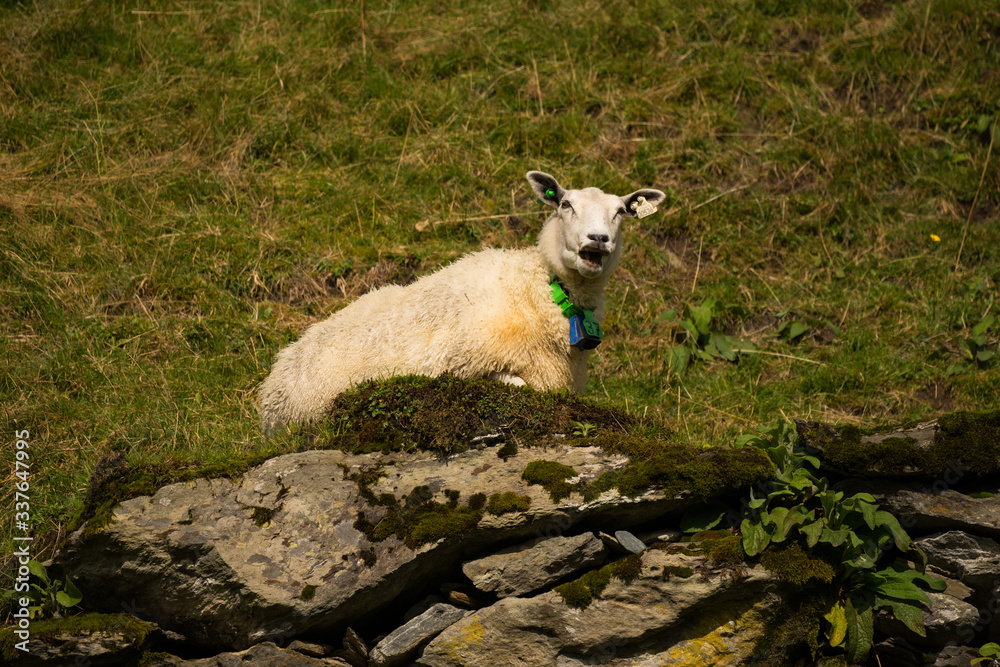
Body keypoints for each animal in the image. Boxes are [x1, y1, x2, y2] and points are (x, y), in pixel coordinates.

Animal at [259, 171, 666, 436]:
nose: (597, 240)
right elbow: (519, 386)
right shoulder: (462, 364)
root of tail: (282, 363)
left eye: (620, 212)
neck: (539, 288)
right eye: (565, 204)